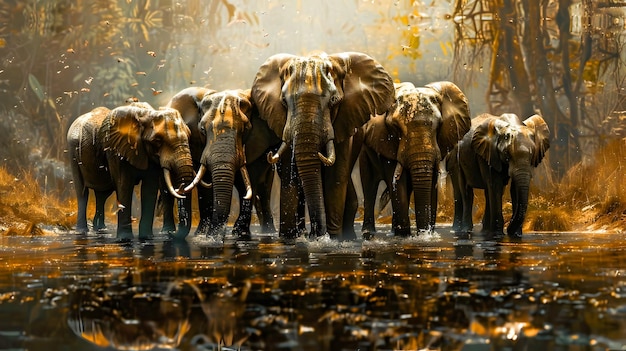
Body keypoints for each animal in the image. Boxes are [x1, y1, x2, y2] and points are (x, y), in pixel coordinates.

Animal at [97, 104, 195, 242]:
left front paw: (146, 237)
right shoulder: (120, 149)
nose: (171, 235)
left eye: (189, 136)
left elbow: (149, 189)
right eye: (157, 141)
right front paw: (124, 239)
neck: (148, 115)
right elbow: (124, 185)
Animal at [163, 87, 280, 241]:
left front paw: (240, 234)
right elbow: (205, 184)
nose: (171, 234)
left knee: (263, 189)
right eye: (202, 130)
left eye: (245, 129)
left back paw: (267, 232)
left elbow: (249, 182)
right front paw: (202, 235)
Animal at [250, 51, 392, 241]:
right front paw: (290, 238)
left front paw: (331, 240)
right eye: (284, 102)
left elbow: (335, 178)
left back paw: (348, 237)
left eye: (333, 101)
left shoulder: (344, 122)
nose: (317, 234)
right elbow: (289, 176)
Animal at [356, 81, 468, 238]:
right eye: (395, 127)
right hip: (365, 152)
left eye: (439, 125)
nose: (423, 233)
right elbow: (398, 183)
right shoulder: (387, 142)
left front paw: (426, 235)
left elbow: (429, 186)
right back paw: (369, 233)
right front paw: (404, 235)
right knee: (370, 186)